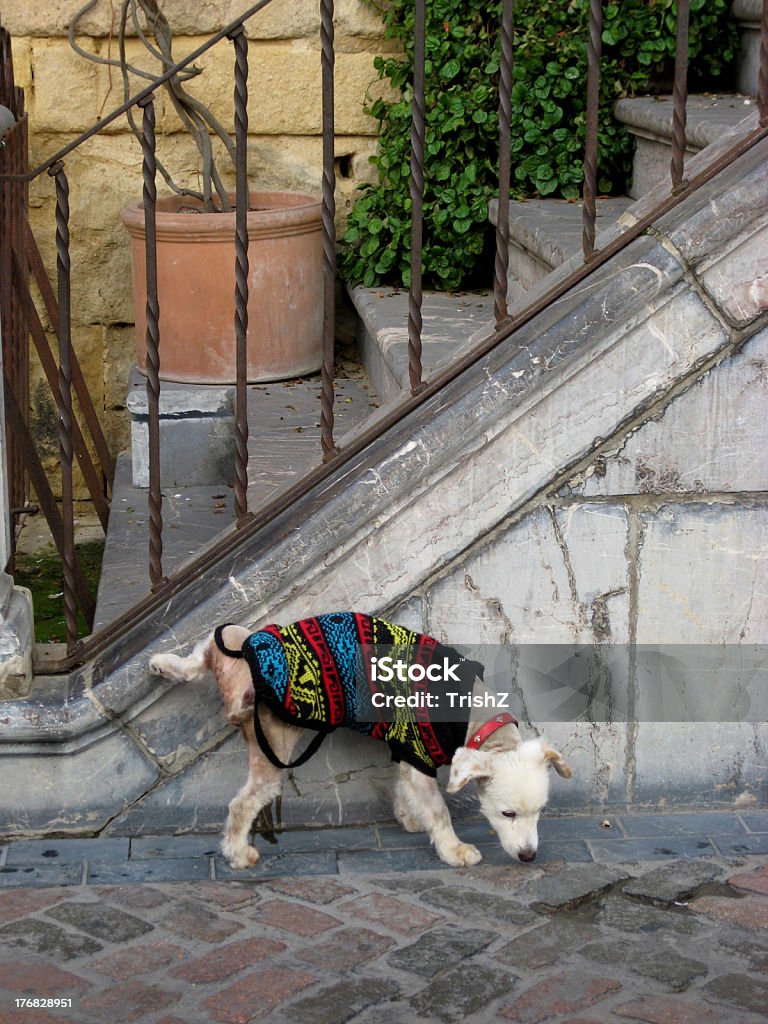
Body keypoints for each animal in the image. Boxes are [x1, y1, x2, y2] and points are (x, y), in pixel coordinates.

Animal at [150, 610, 573, 868]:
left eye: (541, 812)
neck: (473, 712)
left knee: (202, 653)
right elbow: (439, 809)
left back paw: (165, 664)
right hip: (273, 744)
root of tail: (242, 673)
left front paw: (409, 817)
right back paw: (239, 854)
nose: (529, 857)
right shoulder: (419, 754)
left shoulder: (405, 753)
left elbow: (405, 789)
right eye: (507, 814)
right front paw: (453, 849)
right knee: (242, 804)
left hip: (238, 637)